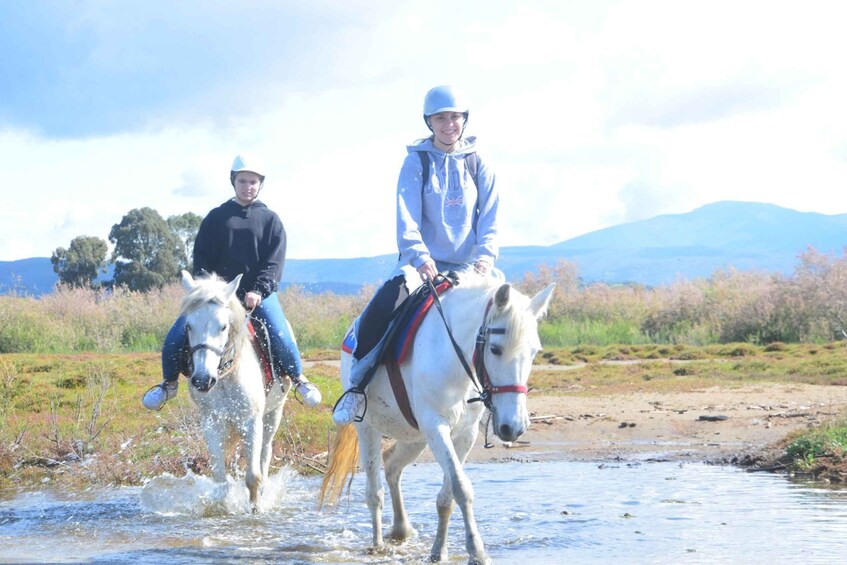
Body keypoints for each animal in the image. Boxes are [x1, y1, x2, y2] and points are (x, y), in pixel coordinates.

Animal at [179, 268, 292, 512]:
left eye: (223, 326)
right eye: (189, 326)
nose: (203, 380)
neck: (225, 377)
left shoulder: (252, 421)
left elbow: (253, 477)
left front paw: (256, 510)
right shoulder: (211, 422)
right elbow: (220, 478)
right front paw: (221, 509)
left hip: (273, 414)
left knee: (265, 453)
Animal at [322, 276, 556, 560]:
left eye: (534, 351)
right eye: (495, 349)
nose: (514, 427)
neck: (454, 359)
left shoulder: (464, 434)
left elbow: (448, 496)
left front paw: (439, 551)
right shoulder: (436, 426)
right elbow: (461, 488)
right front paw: (477, 551)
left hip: (415, 438)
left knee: (392, 467)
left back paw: (401, 529)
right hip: (368, 428)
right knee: (374, 490)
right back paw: (377, 545)